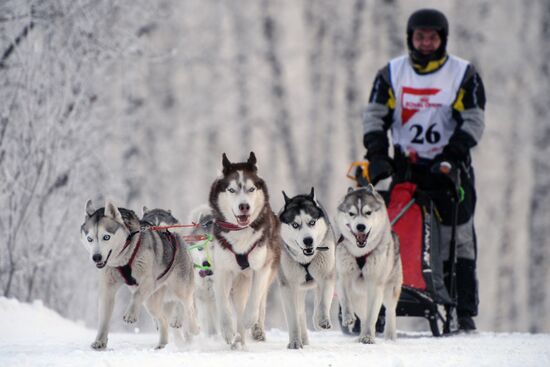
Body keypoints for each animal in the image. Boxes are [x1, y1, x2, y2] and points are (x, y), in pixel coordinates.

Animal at [82, 203, 201, 350]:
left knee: (188, 307)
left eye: (106, 237)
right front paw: (100, 341)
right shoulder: (108, 289)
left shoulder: (149, 280)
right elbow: (104, 318)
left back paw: (193, 328)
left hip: (180, 288)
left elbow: (136, 295)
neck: (123, 259)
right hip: (151, 302)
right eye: (90, 239)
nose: (96, 257)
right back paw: (162, 344)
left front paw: (131, 314)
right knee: (163, 319)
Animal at [209, 153, 282, 350]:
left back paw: (255, 329)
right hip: (239, 282)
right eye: (232, 190)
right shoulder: (222, 270)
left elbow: (255, 298)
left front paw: (251, 320)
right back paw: (238, 340)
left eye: (251, 189)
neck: (240, 233)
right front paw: (227, 330)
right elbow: (222, 302)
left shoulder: (262, 267)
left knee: (260, 301)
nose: (244, 206)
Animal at [278, 190, 338, 350]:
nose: (308, 240)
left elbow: (323, 301)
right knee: (300, 313)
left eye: (312, 222)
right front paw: (294, 342)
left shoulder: (326, 276)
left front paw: (322, 320)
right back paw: (302, 338)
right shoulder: (288, 287)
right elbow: (294, 318)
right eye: (295, 225)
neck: (305, 259)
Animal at [334, 187, 404, 344]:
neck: (361, 253)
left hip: (390, 288)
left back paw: (389, 336)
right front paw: (348, 317)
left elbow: (373, 314)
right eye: (351, 213)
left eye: (368, 212)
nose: (361, 226)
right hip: (358, 297)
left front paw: (367, 337)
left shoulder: (375, 284)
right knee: (363, 315)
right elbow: (345, 298)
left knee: (390, 310)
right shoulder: (342, 277)